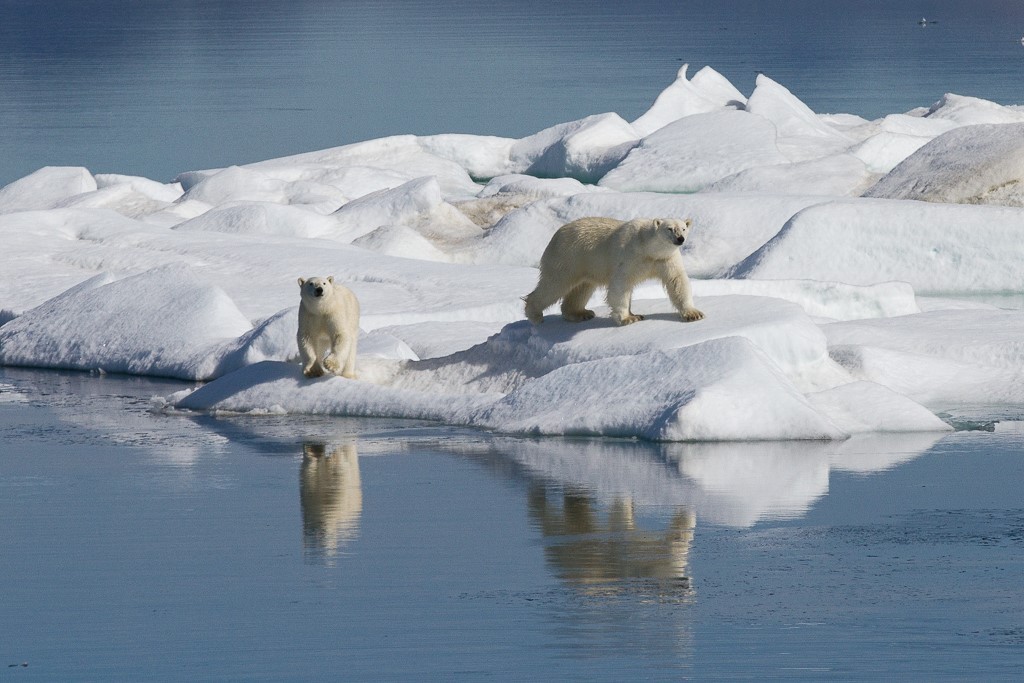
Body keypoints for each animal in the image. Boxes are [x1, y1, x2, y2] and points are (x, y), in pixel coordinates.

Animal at [528, 218, 704, 327]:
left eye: (683, 228)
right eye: (669, 229)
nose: (680, 239)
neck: (648, 248)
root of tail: (555, 236)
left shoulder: (666, 259)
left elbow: (677, 282)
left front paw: (694, 314)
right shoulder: (630, 255)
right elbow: (621, 284)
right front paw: (630, 318)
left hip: (585, 264)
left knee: (582, 288)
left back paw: (580, 313)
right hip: (568, 258)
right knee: (554, 285)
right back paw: (534, 314)